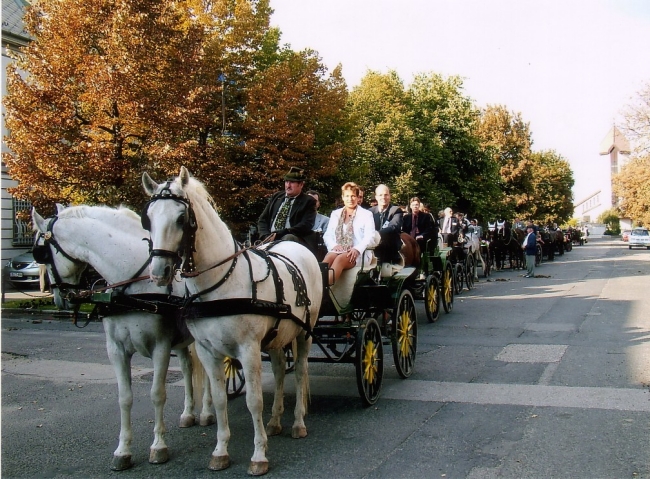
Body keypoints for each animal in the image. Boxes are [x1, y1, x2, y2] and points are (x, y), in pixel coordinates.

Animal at [32, 204, 214, 471]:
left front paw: (158, 446)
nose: (59, 299)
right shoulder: (116, 350)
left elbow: (157, 394)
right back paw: (189, 413)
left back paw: (207, 412)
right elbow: (124, 398)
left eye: (41, 253)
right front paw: (123, 450)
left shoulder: (160, 347)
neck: (132, 288)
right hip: (183, 341)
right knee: (188, 368)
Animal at [141, 167, 323, 475]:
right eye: (148, 218)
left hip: (304, 334)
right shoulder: (207, 351)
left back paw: (298, 423)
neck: (220, 281)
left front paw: (259, 455)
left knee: (300, 372)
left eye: (181, 218)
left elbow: (254, 400)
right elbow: (219, 399)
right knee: (278, 370)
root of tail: (295, 246)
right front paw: (220, 451)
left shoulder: (248, 349)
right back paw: (275, 421)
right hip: (277, 336)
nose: (159, 272)